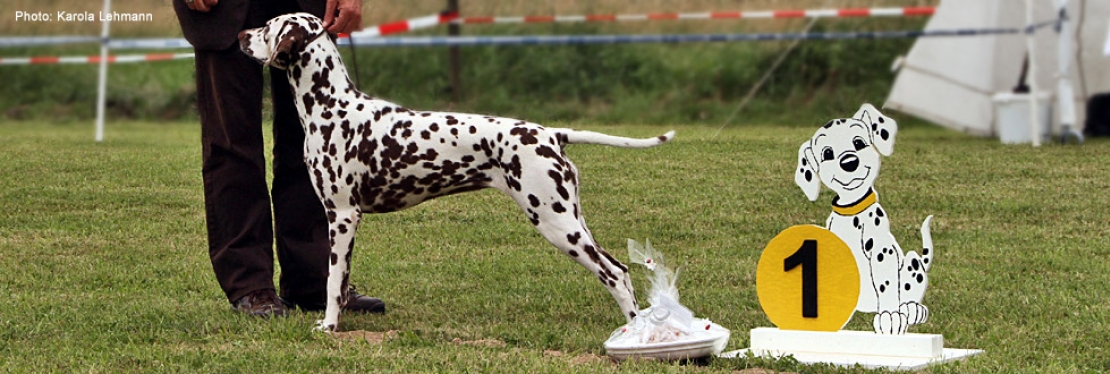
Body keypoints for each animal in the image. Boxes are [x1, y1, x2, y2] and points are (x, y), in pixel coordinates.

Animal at [238, 13, 670, 330]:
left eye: (268, 26)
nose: (241, 34)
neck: (334, 107)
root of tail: (550, 133)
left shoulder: (342, 216)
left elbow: (330, 283)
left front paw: (328, 327)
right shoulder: (344, 220)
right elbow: (341, 285)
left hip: (557, 224)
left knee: (615, 273)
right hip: (570, 219)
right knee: (619, 270)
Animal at [794, 103, 932, 332]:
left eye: (858, 142)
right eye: (827, 153)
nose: (849, 162)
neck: (851, 212)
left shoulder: (882, 252)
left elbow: (886, 286)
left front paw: (889, 316)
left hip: (912, 262)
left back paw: (912, 308)